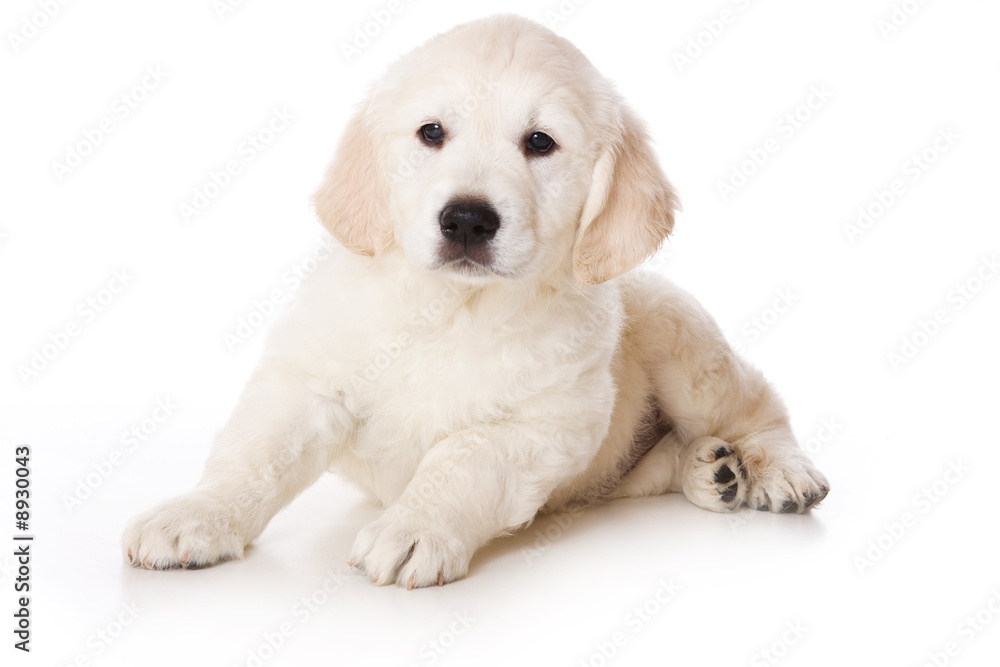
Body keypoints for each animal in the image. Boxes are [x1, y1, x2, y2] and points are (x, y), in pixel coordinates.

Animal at [123, 14, 828, 588]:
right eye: (431, 133)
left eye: (540, 142)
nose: (466, 220)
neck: (453, 307)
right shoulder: (310, 380)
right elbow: (256, 456)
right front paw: (196, 514)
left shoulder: (542, 424)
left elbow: (463, 459)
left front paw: (415, 529)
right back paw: (710, 471)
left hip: (677, 335)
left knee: (755, 402)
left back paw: (778, 471)